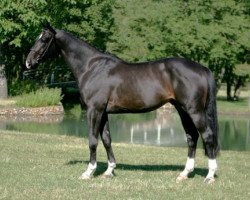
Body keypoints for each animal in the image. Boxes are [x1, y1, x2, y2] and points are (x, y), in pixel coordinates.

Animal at [26, 24, 220, 184]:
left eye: (44, 39)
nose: (28, 62)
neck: (92, 67)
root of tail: (203, 69)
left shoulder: (94, 110)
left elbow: (92, 140)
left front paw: (89, 172)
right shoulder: (103, 112)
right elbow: (107, 139)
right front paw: (109, 171)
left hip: (194, 111)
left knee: (207, 136)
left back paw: (209, 176)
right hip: (182, 110)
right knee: (192, 137)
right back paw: (184, 174)